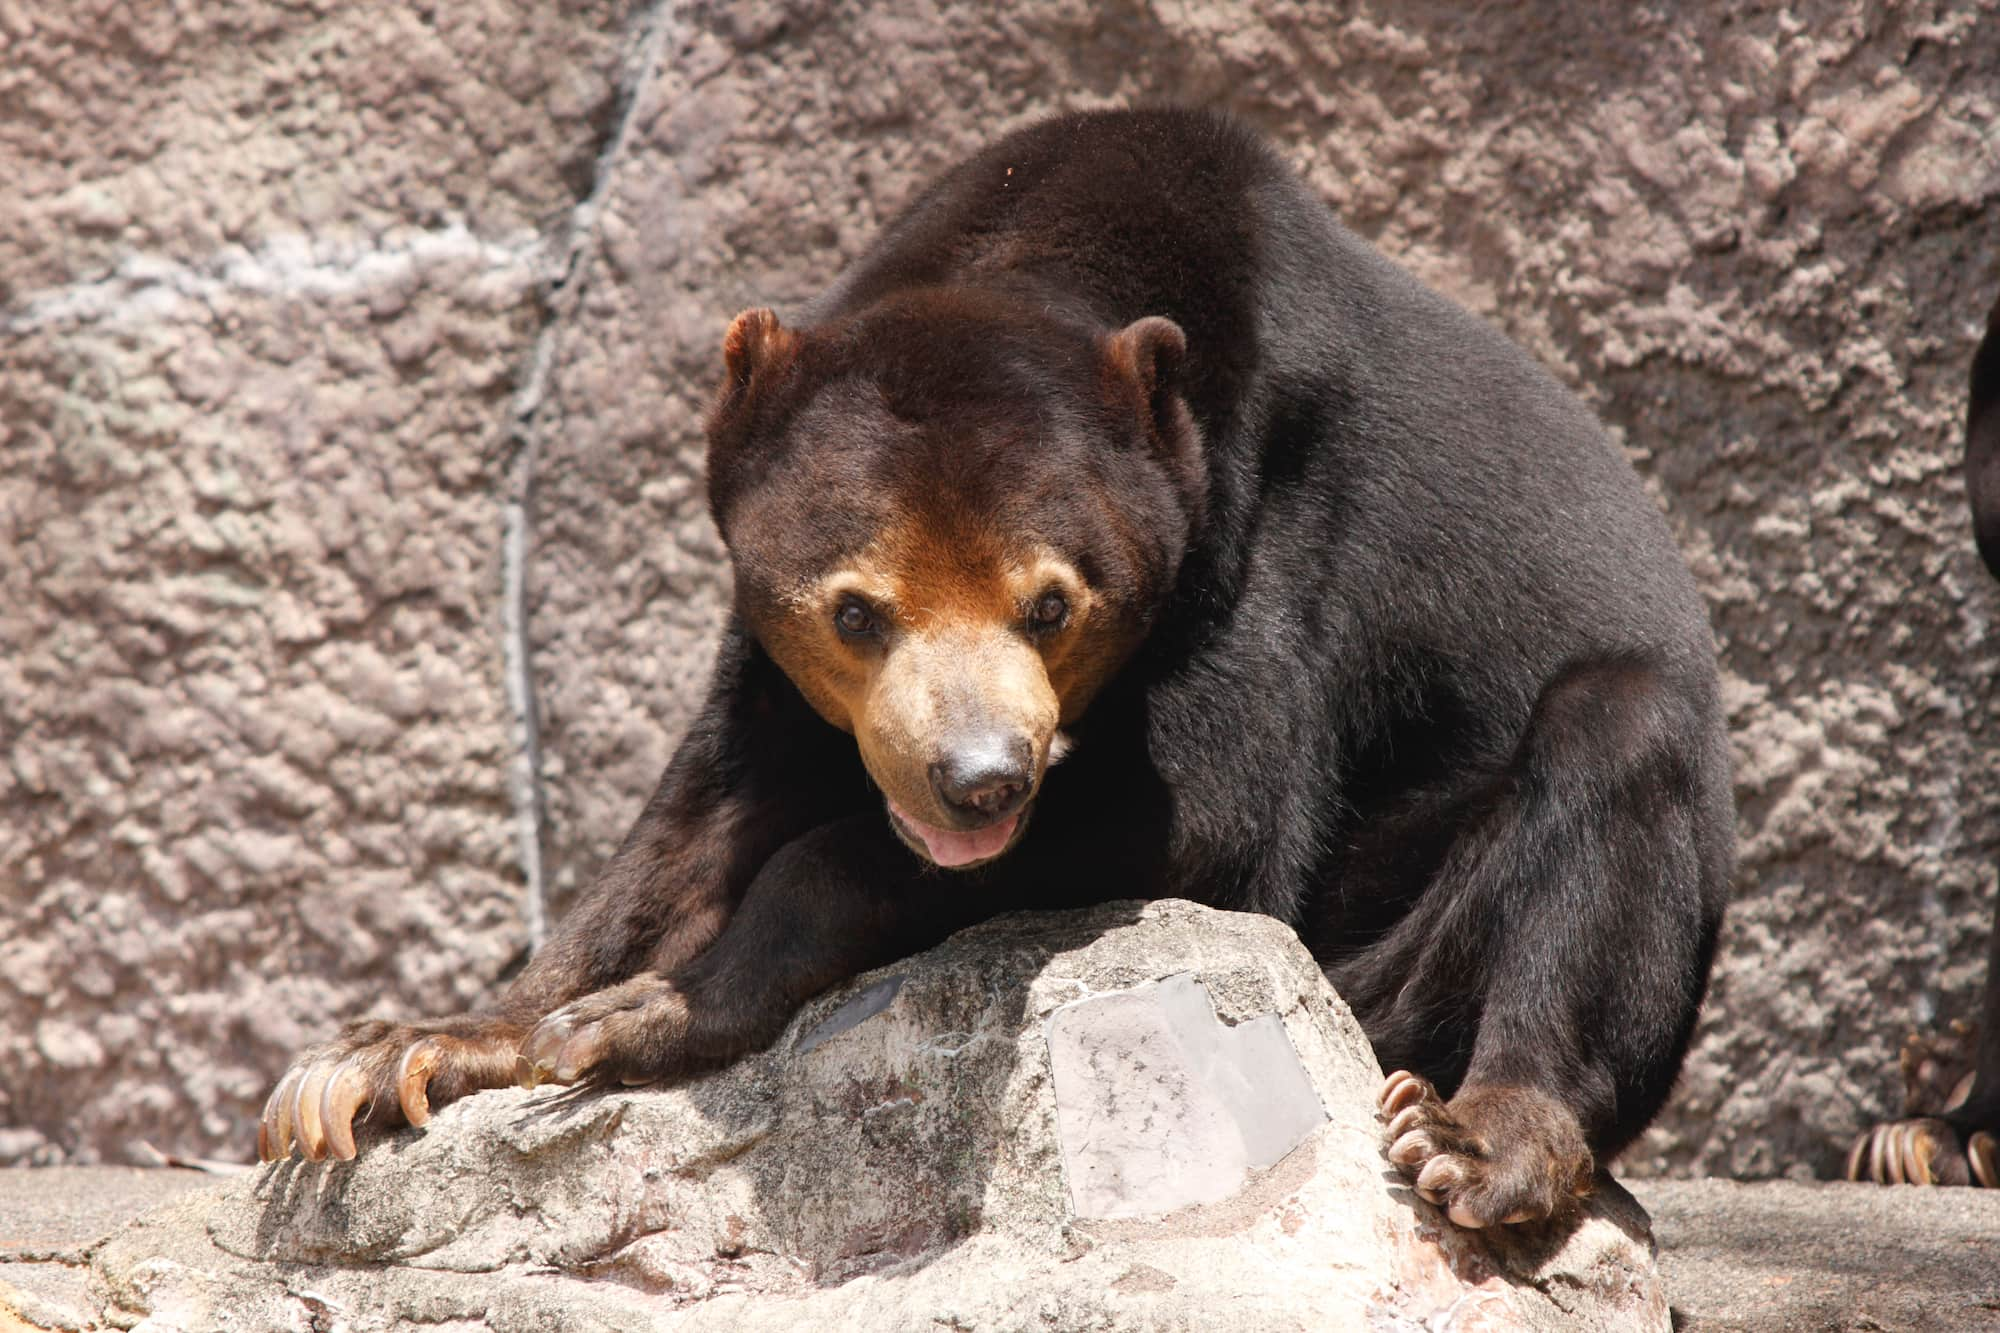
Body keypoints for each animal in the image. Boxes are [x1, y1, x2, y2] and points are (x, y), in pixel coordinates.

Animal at [266, 111, 1736, 1224]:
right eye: (857, 612)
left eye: (1051, 604)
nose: (977, 780)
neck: (1047, 246)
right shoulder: (765, 634)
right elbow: (687, 828)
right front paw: (387, 1057)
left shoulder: (1267, 536)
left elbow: (1206, 818)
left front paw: (640, 1016)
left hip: (1408, 957)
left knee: (1616, 744)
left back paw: (1478, 1137)